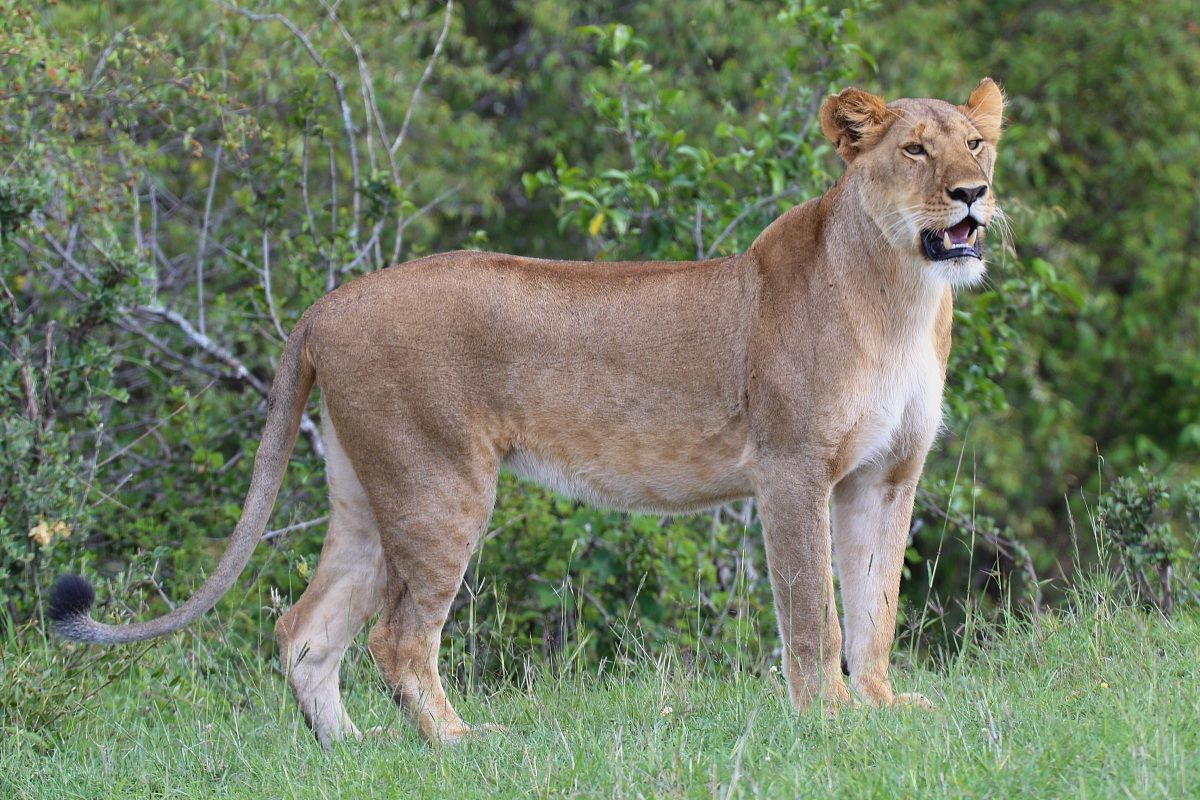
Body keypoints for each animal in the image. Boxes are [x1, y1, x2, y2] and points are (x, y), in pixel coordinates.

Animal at [49, 79, 1005, 747]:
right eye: (914, 151)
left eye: (977, 144)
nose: (972, 193)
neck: (902, 295)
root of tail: (328, 304)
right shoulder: (791, 468)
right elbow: (814, 610)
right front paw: (830, 720)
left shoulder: (885, 476)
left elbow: (875, 603)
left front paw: (884, 706)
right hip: (439, 482)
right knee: (397, 638)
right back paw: (461, 743)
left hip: (366, 490)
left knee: (306, 630)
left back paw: (350, 752)